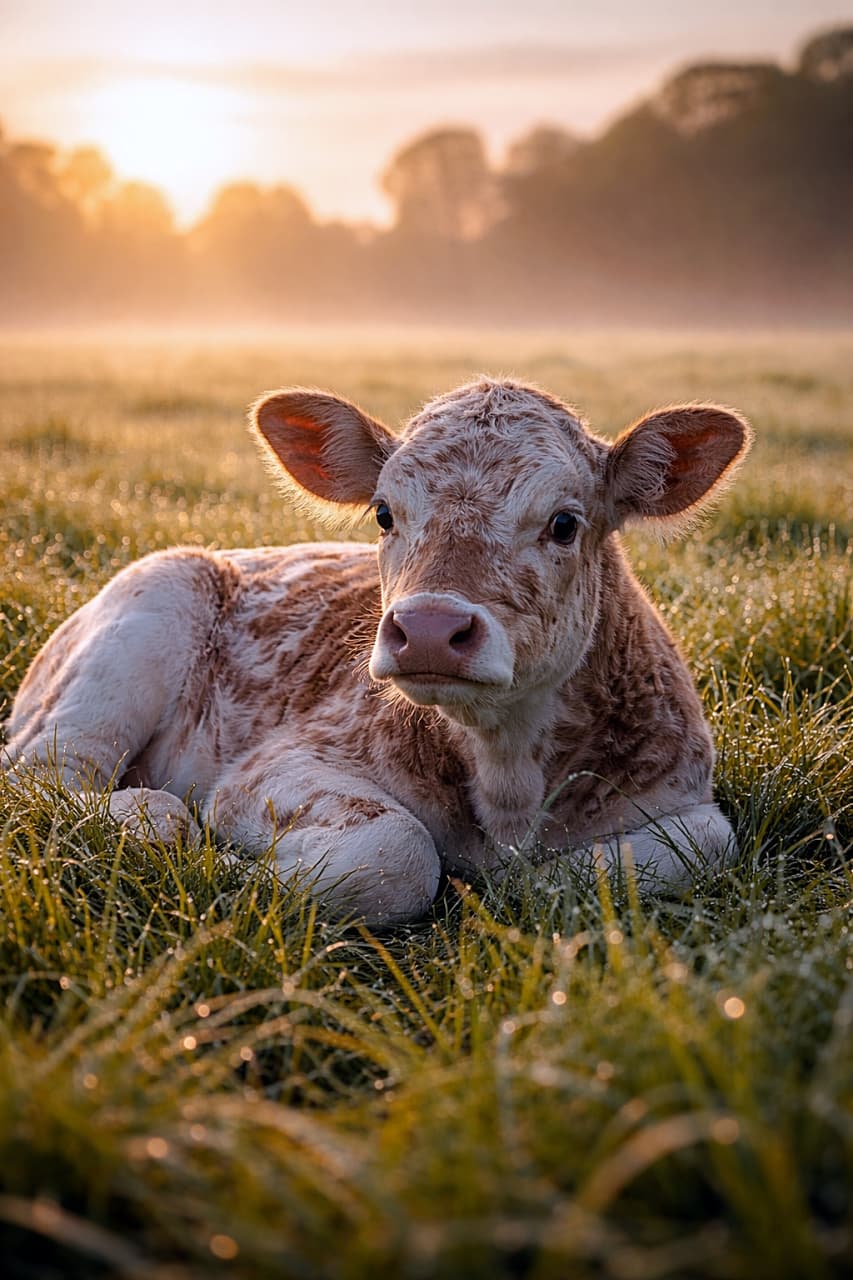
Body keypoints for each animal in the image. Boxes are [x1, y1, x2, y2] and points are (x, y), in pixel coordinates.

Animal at [3, 378, 752, 922]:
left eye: (564, 523)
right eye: (385, 513)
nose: (429, 627)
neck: (508, 776)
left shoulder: (683, 795)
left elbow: (685, 849)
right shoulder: (272, 767)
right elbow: (400, 852)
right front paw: (220, 861)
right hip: (149, 609)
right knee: (45, 776)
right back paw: (147, 813)